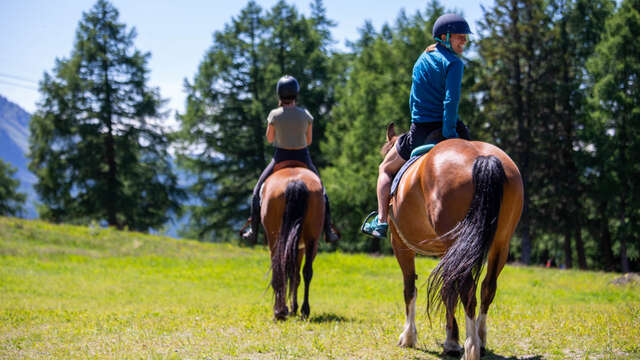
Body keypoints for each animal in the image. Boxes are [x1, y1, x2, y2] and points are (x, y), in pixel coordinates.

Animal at [258, 162, 324, 320]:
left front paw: (289, 307)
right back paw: (304, 310)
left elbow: (291, 273)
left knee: (280, 268)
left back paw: (280, 311)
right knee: (306, 272)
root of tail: (295, 182)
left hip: (276, 240)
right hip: (311, 240)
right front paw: (293, 307)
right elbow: (296, 274)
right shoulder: (300, 247)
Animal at [382, 122, 524, 358]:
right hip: (500, 244)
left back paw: (471, 346)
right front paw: (451, 340)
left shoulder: (400, 244)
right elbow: (448, 290)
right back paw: (480, 339)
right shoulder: (446, 250)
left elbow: (410, 287)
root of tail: (482, 158)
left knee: (467, 290)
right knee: (487, 288)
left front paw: (409, 336)